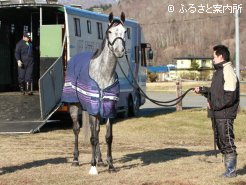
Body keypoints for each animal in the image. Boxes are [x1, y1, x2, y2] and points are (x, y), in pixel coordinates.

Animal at [61, 11, 127, 175]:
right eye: (109, 31)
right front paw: (92, 166)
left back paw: (101, 160)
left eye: (125, 31)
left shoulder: (108, 109)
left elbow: (108, 137)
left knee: (96, 131)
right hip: (75, 106)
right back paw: (76, 160)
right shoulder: (92, 109)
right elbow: (92, 138)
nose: (119, 51)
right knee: (76, 130)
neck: (103, 74)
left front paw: (110, 165)